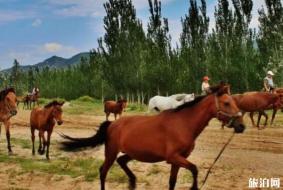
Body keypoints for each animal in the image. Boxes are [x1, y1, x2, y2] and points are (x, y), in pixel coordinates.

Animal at [60, 84, 246, 190]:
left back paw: (133, 182)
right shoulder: (173, 157)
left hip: (132, 153)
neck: (183, 124)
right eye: (226, 103)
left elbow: (172, 182)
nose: (241, 126)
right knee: (103, 171)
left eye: (234, 102)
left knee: (122, 162)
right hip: (111, 152)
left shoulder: (178, 160)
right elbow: (194, 169)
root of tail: (112, 124)